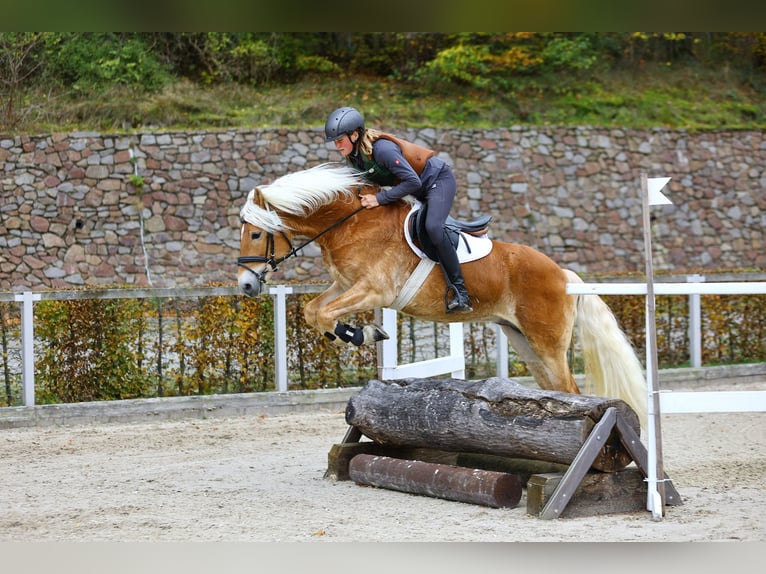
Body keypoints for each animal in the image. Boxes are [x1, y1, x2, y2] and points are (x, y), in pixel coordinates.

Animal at [237, 162, 652, 428]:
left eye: (256, 233)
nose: (245, 285)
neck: (350, 222)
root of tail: (562, 272)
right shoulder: (344, 286)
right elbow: (313, 311)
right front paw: (356, 334)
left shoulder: (373, 290)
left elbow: (323, 315)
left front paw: (362, 334)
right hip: (525, 341)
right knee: (557, 390)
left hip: (546, 342)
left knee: (569, 389)